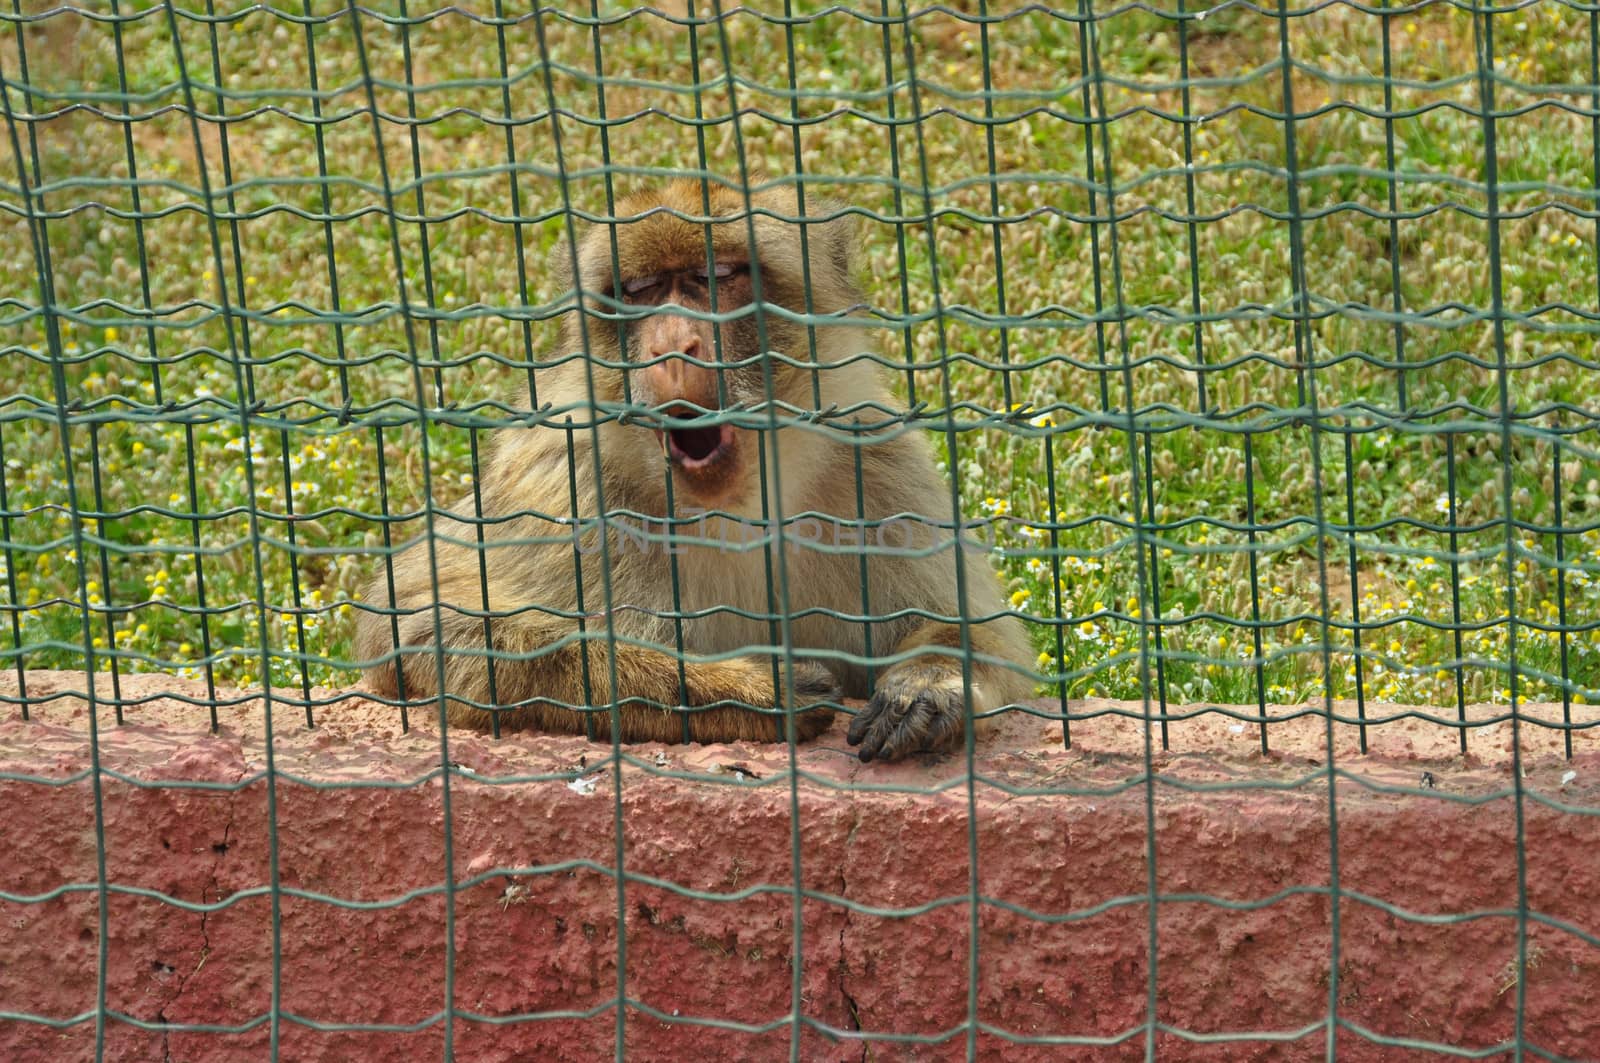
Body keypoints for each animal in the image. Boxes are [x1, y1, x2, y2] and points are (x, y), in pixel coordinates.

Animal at [355, 176, 1030, 755]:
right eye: (641, 291)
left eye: (716, 276)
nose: (671, 345)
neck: (737, 505)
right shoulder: (556, 483)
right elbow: (421, 623)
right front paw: (746, 689)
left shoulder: (882, 467)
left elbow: (978, 632)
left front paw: (930, 681)